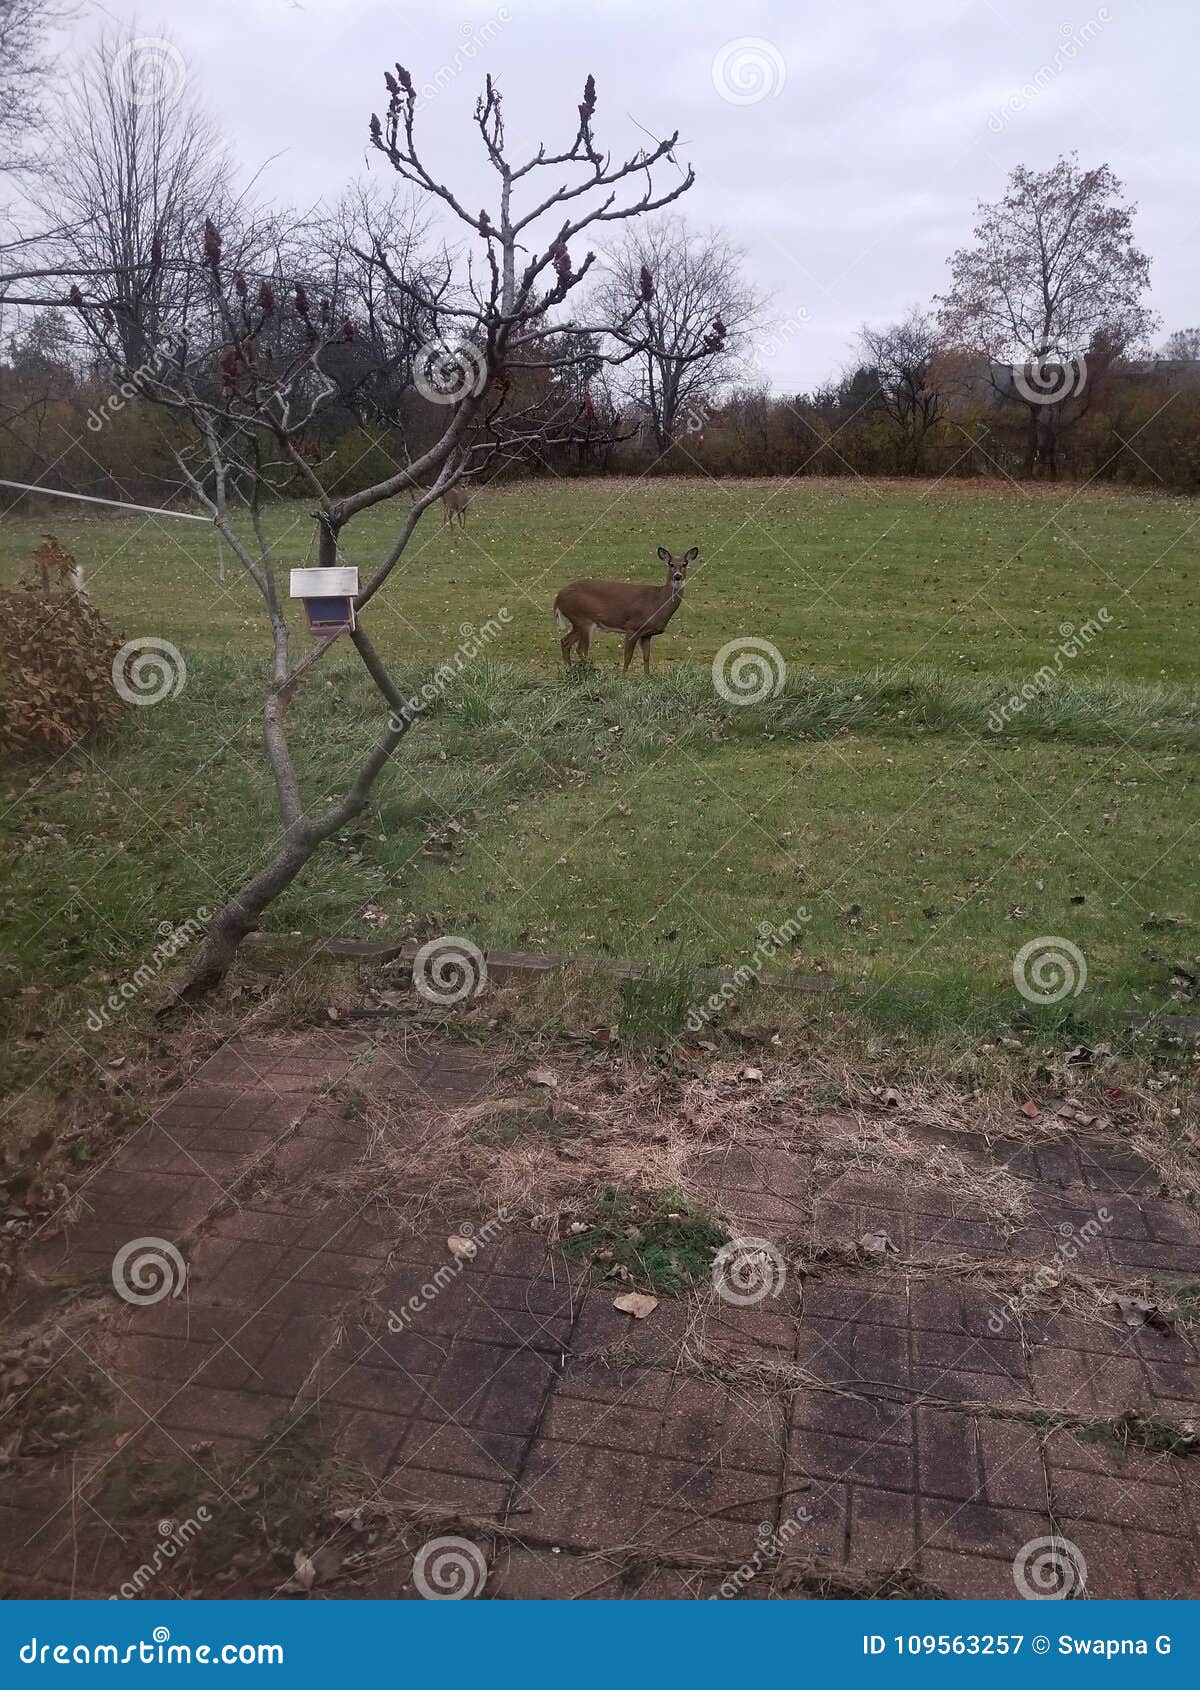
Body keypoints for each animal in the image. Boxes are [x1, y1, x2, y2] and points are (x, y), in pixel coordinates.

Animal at [554, 546, 698, 673]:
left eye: (684, 564)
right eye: (671, 564)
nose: (678, 576)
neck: (657, 603)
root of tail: (558, 598)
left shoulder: (647, 634)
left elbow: (646, 657)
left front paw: (647, 677)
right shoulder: (632, 627)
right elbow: (628, 657)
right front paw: (623, 677)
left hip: (579, 622)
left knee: (565, 641)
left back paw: (569, 670)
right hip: (583, 619)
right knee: (581, 649)